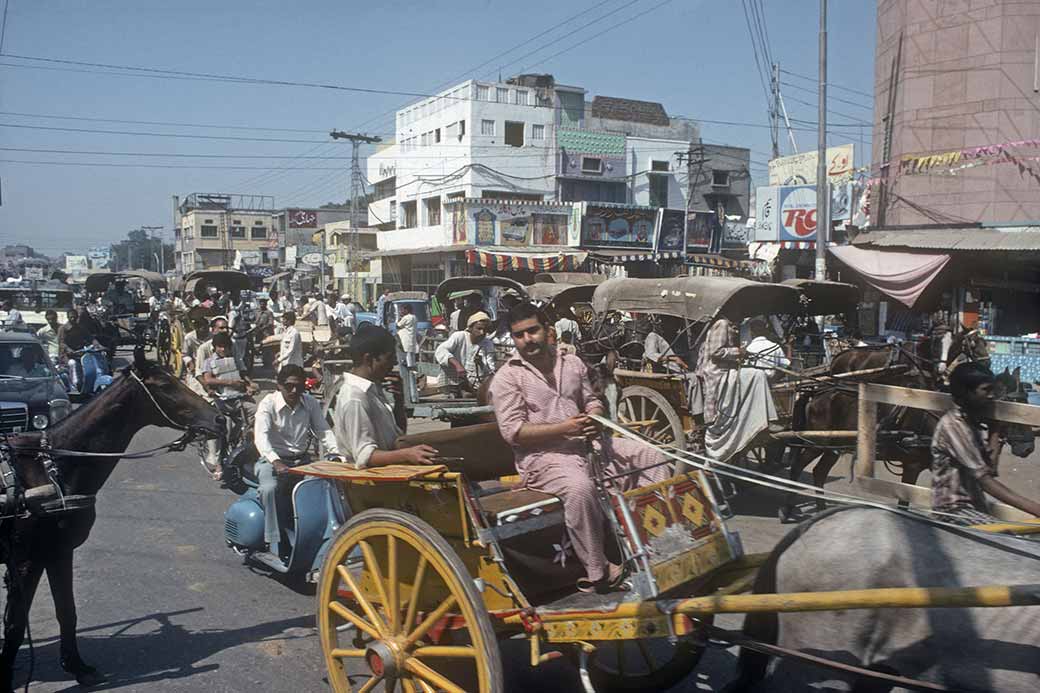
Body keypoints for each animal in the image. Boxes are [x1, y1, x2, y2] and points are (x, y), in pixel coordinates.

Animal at [1, 347, 221, 686]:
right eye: (164, 385)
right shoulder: (27, 559)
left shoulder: (57, 552)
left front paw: (76, 666)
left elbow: (67, 611)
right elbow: (14, 626)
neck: (52, 469)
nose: (219, 418)